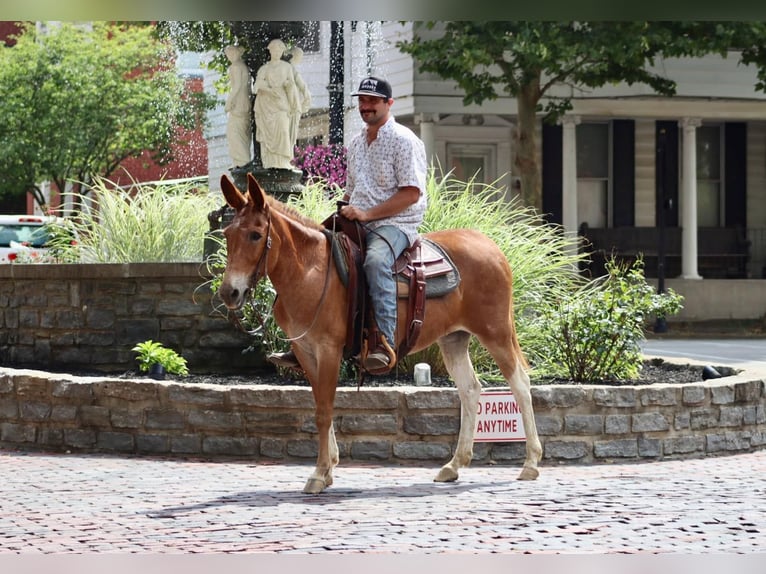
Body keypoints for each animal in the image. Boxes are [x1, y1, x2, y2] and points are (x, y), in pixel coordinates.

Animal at [216, 174, 544, 496]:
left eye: (256, 234)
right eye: (228, 234)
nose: (229, 292)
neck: (310, 271)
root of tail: (490, 246)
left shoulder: (328, 349)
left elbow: (325, 410)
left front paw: (320, 474)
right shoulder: (305, 351)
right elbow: (320, 405)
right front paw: (329, 467)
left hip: (495, 332)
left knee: (519, 384)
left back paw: (530, 463)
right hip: (454, 339)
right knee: (470, 389)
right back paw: (454, 465)